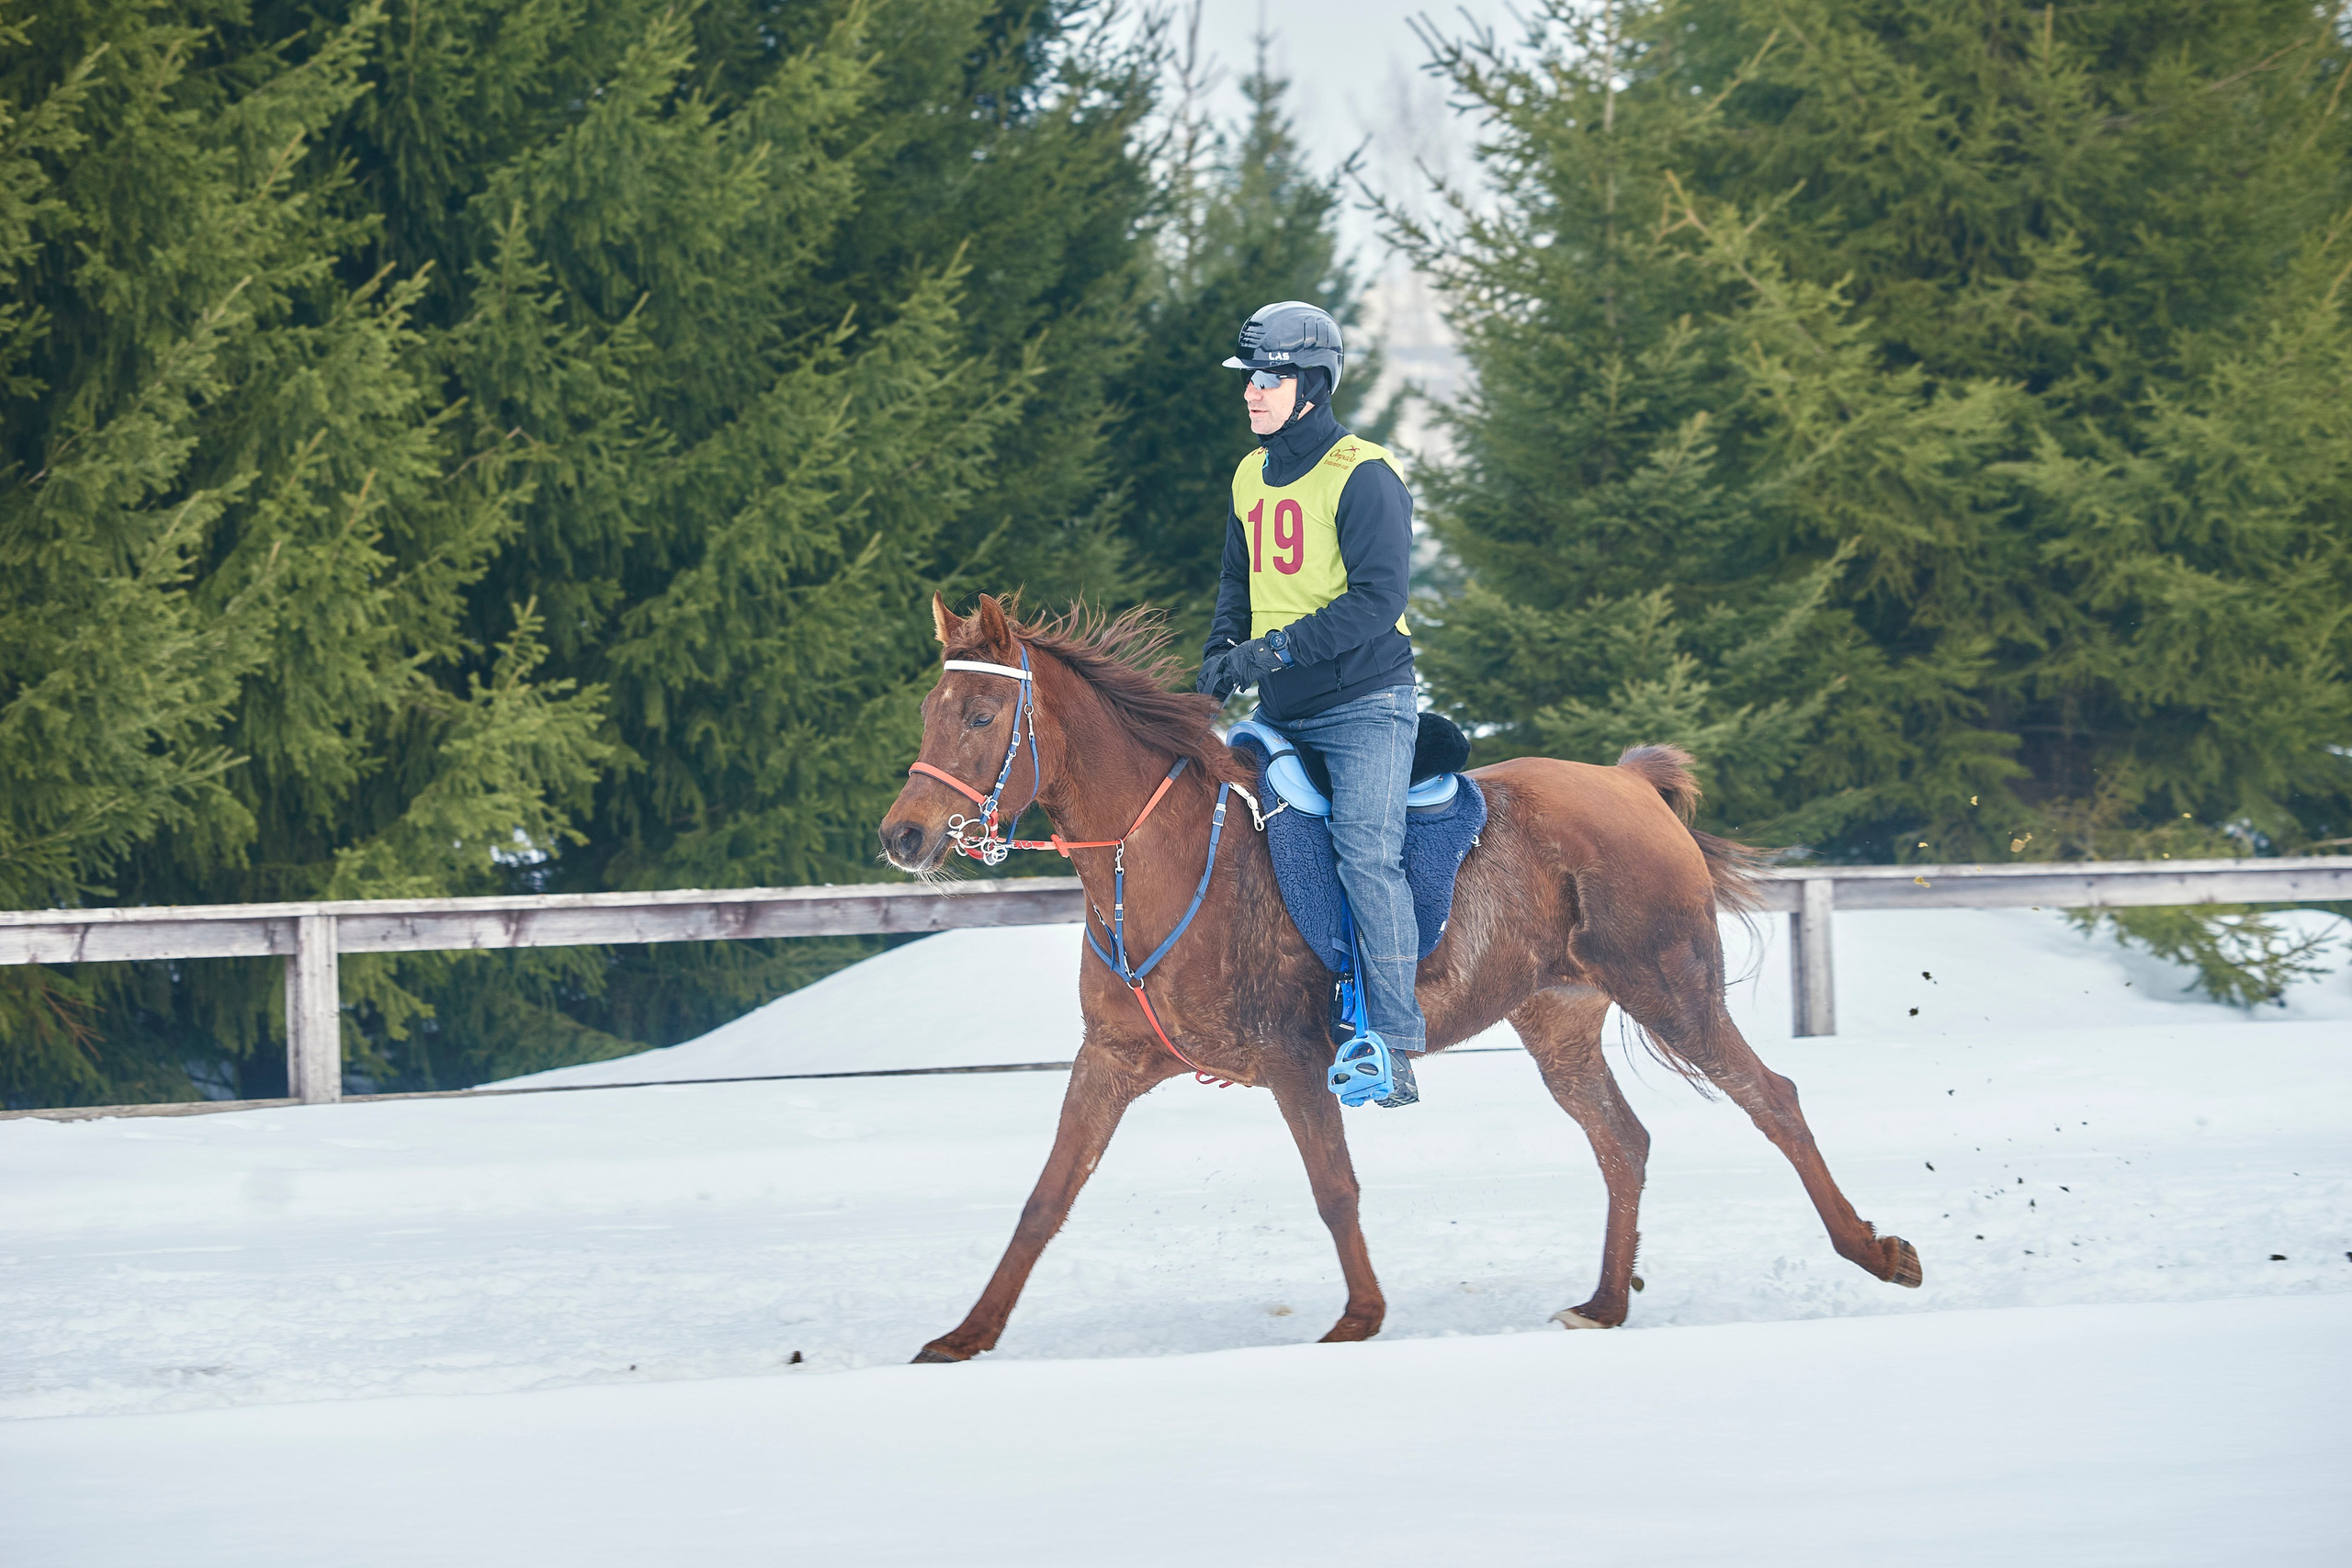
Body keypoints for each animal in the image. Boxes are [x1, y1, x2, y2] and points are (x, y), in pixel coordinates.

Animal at [878, 593, 1921, 1363]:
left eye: (981, 715)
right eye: (929, 713)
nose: (904, 836)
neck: (1158, 861)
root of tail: (1630, 785)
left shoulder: (1297, 1060)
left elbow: (1333, 1185)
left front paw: (1360, 1318)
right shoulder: (1111, 1060)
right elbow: (1045, 1199)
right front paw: (966, 1334)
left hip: (1674, 990)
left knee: (1772, 1097)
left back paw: (1872, 1249)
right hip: (1559, 1021)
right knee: (1623, 1141)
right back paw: (1602, 1303)